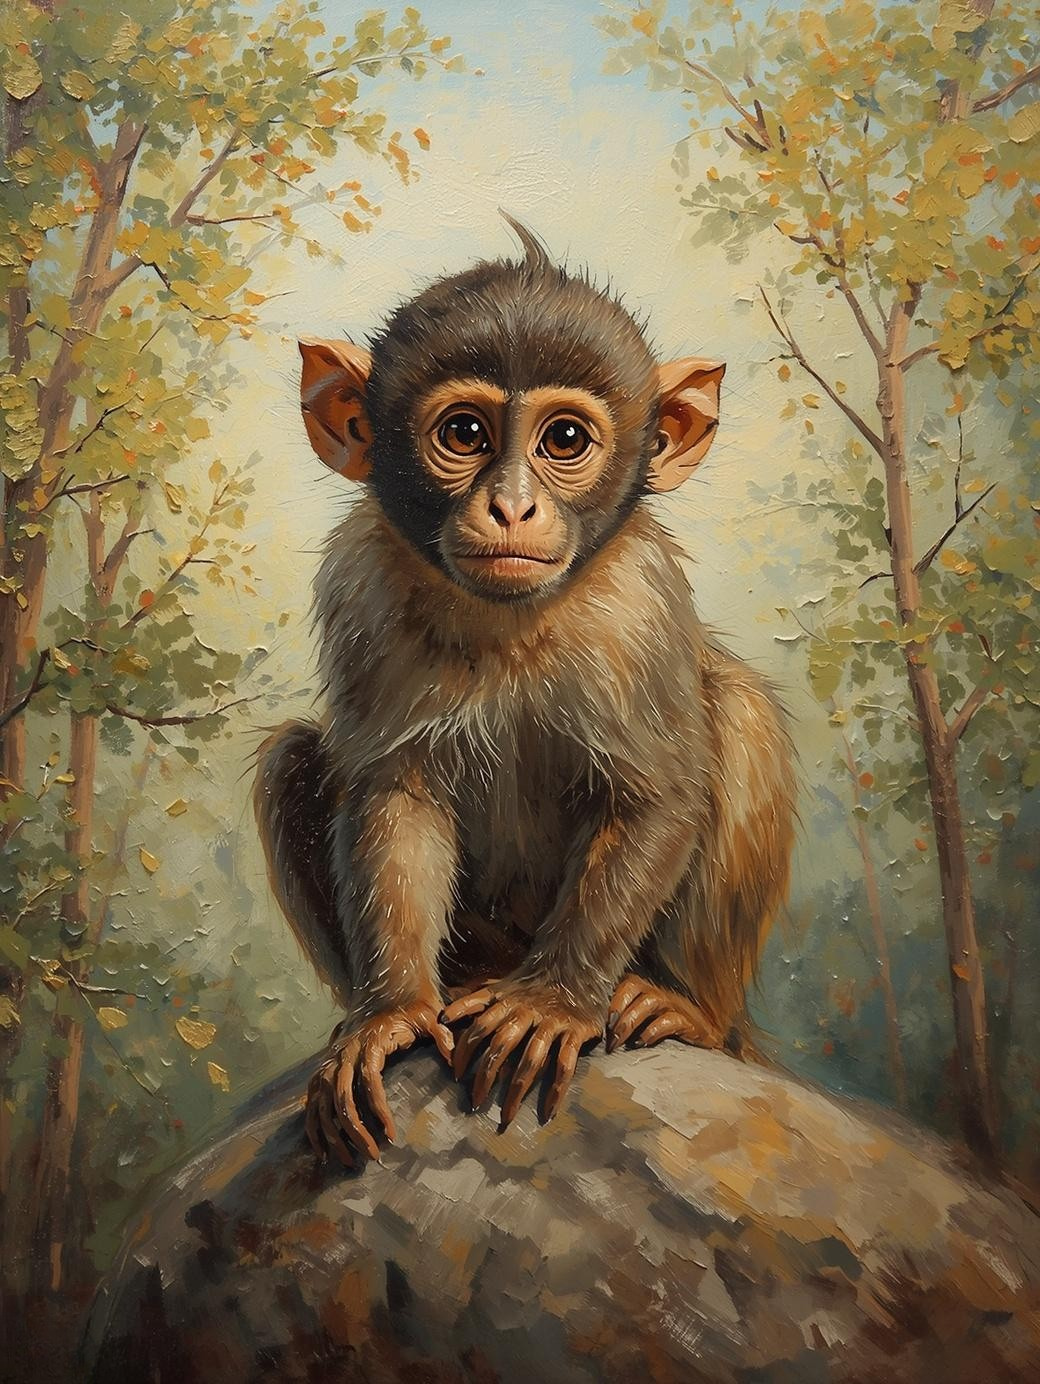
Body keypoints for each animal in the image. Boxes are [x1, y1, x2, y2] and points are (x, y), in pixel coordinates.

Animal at [254, 219, 795, 1166]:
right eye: (466, 432)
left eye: (564, 441)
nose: (512, 508)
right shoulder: (362, 586)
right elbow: (394, 795)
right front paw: (392, 1014)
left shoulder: (639, 605)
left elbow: (658, 797)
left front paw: (552, 1002)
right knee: (292, 759)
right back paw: (453, 986)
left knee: (742, 710)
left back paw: (686, 1007)